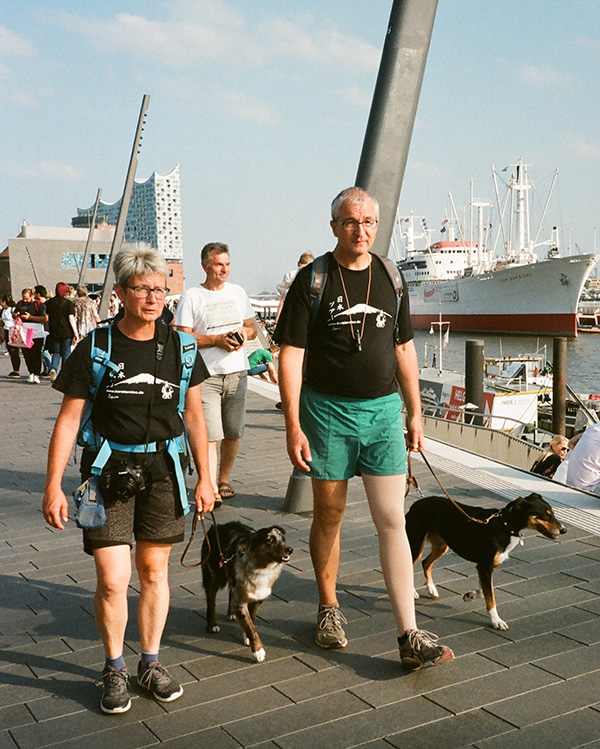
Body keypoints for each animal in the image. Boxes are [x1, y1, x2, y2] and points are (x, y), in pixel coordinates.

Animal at [202, 520, 292, 660]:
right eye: (270, 540)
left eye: (283, 539)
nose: (290, 550)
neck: (261, 567)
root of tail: (218, 526)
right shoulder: (241, 601)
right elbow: (250, 626)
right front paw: (258, 651)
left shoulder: (257, 597)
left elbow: (251, 620)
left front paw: (247, 638)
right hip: (213, 576)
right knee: (211, 600)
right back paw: (212, 625)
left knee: (230, 593)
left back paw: (231, 613)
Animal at [406, 490, 564, 632]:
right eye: (546, 514)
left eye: (553, 513)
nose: (564, 530)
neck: (505, 525)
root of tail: (415, 504)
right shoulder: (484, 566)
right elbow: (491, 597)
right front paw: (496, 621)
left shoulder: (485, 568)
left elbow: (485, 591)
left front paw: (469, 596)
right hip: (415, 545)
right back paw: (412, 592)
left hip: (441, 546)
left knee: (425, 562)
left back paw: (431, 588)